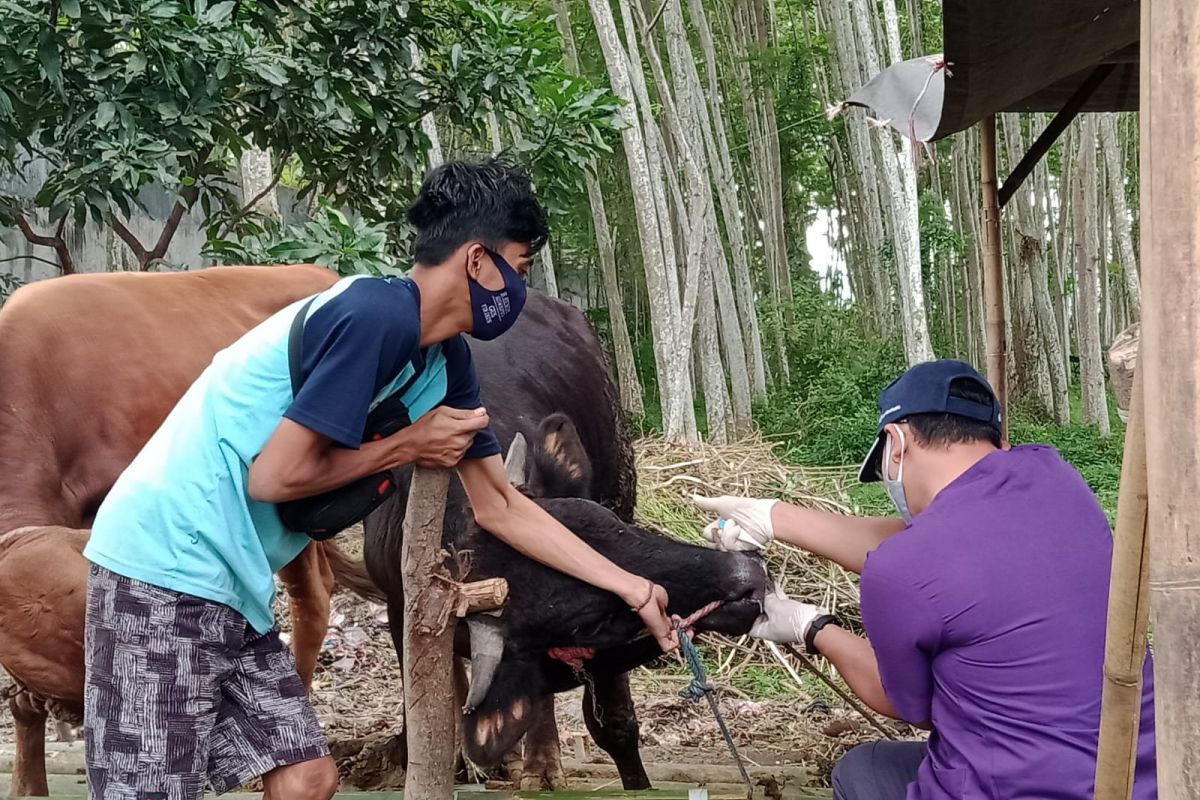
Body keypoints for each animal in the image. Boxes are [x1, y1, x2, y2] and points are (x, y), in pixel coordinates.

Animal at [360, 293, 768, 786]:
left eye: (606, 525)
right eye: (592, 625)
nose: (745, 577)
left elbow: (614, 725)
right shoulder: (400, 607)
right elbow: (429, 709)